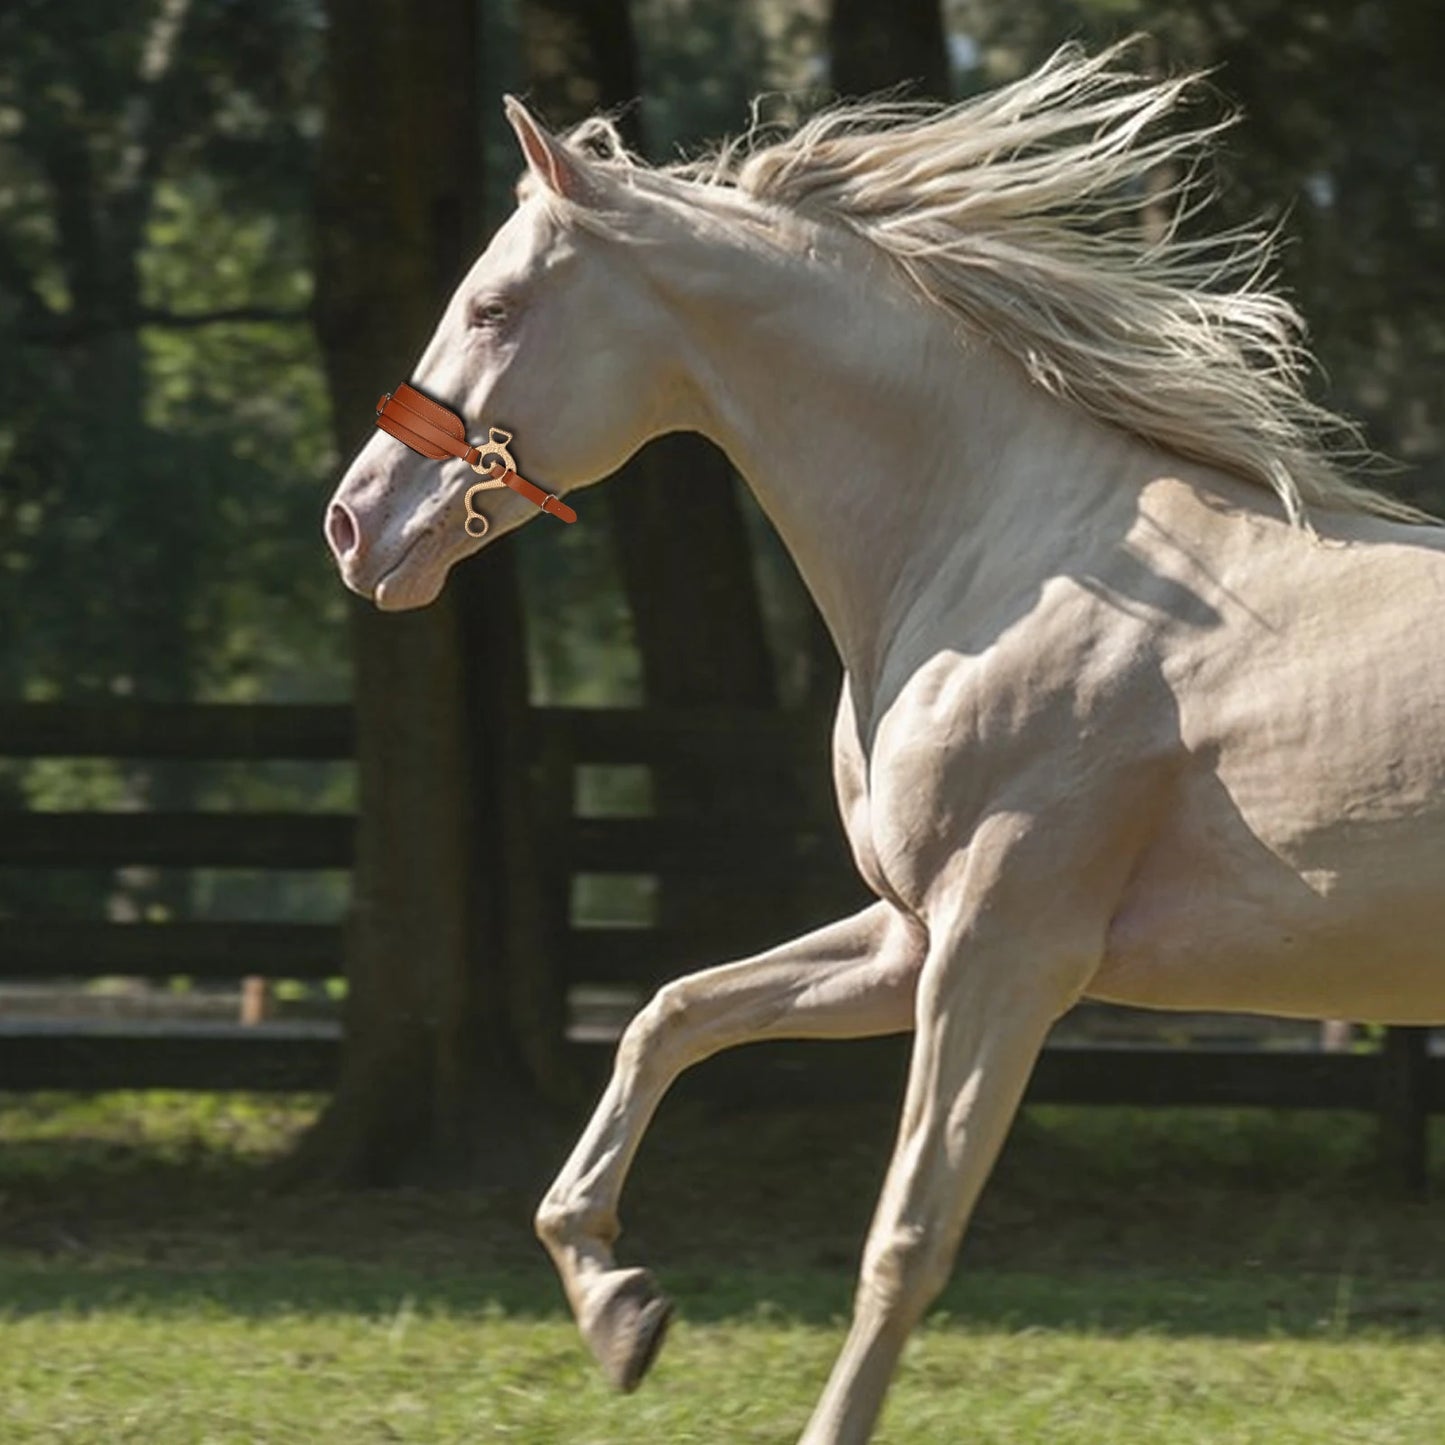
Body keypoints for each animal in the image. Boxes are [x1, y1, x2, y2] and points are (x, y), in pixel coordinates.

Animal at [328, 45, 1445, 1445]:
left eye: (490, 307)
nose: (354, 524)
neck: (1004, 552)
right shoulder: (906, 936)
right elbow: (669, 1012)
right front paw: (618, 1307)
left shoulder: (1000, 950)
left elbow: (905, 1234)